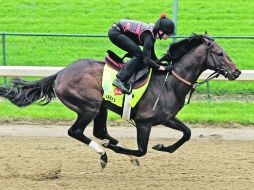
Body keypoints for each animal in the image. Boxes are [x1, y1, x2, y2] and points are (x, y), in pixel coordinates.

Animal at [0, 33, 240, 168]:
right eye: (220, 53)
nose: (237, 72)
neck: (170, 81)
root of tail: (60, 73)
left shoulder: (166, 118)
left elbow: (187, 133)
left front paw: (163, 147)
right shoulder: (144, 122)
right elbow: (141, 150)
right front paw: (125, 152)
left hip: (100, 108)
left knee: (99, 131)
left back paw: (110, 143)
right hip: (89, 106)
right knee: (75, 132)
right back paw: (104, 152)